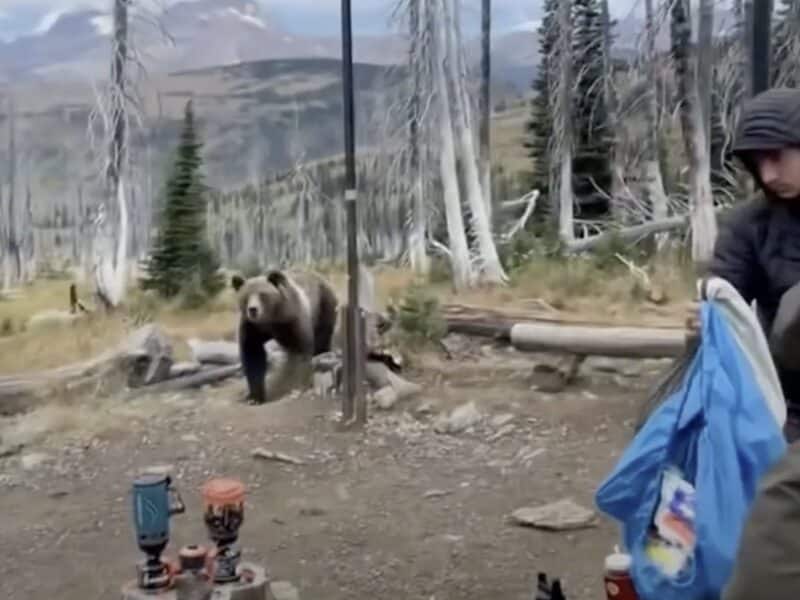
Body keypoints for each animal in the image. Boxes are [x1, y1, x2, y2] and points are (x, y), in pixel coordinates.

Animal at [231, 269, 339, 404]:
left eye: (262, 294)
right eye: (245, 297)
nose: (253, 309)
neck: (272, 318)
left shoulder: (292, 319)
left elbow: (301, 349)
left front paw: (298, 387)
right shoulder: (252, 327)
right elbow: (252, 355)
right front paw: (255, 397)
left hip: (324, 306)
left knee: (322, 339)